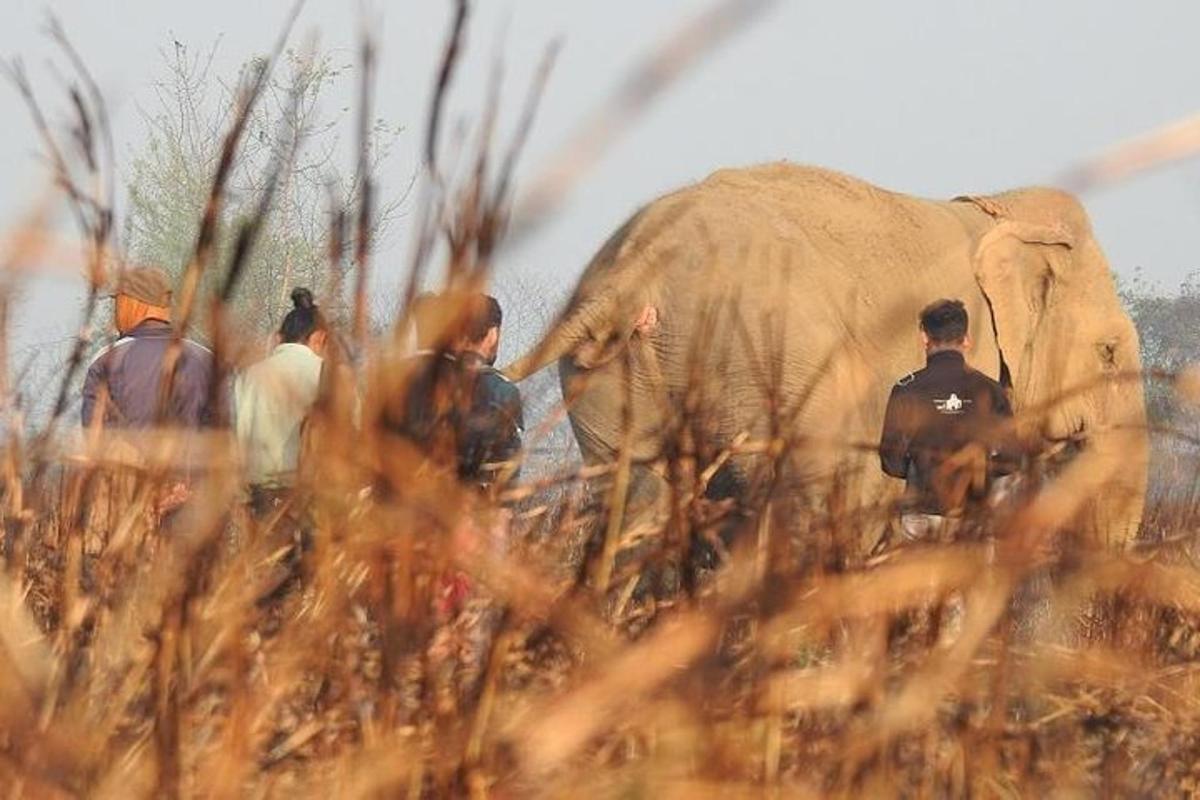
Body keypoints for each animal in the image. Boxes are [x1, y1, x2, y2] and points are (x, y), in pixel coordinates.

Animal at [504, 163, 1142, 556]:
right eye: (1109, 352)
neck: (1001, 210)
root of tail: (638, 268)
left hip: (605, 374)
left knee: (633, 497)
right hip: (770, 361)